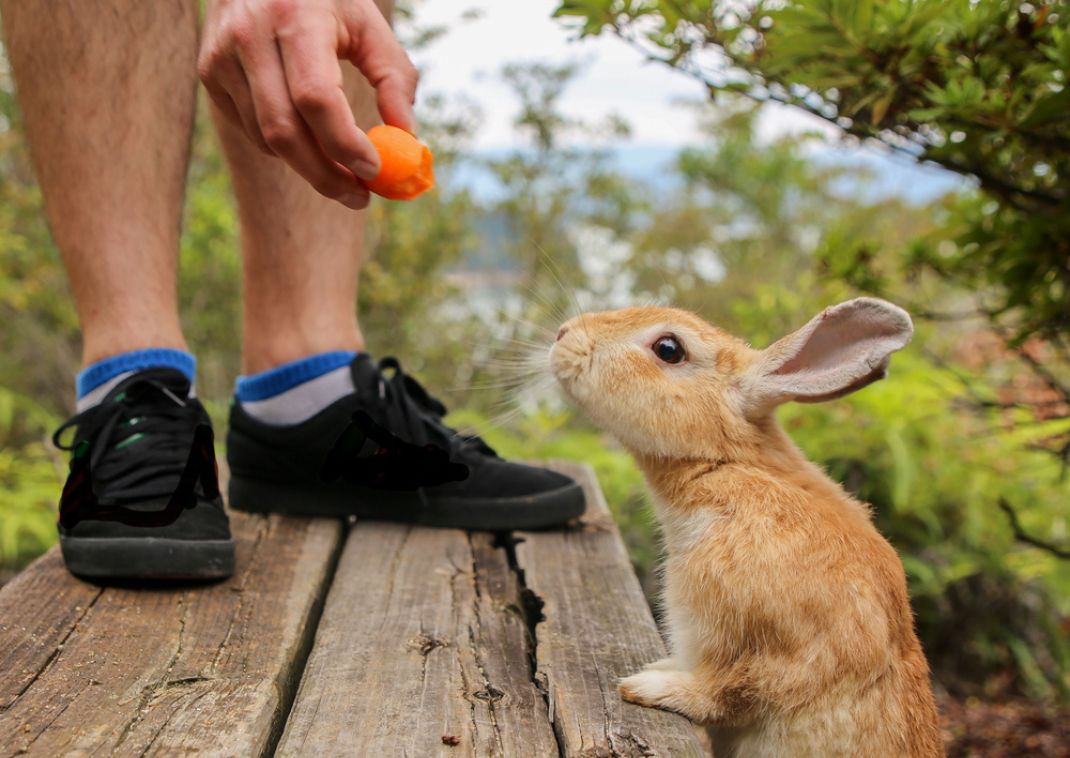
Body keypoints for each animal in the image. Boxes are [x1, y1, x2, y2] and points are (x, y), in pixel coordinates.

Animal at [547, 299, 941, 758]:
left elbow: (728, 691)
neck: (725, 464)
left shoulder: (769, 648)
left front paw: (649, 685)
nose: (564, 334)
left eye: (668, 348)